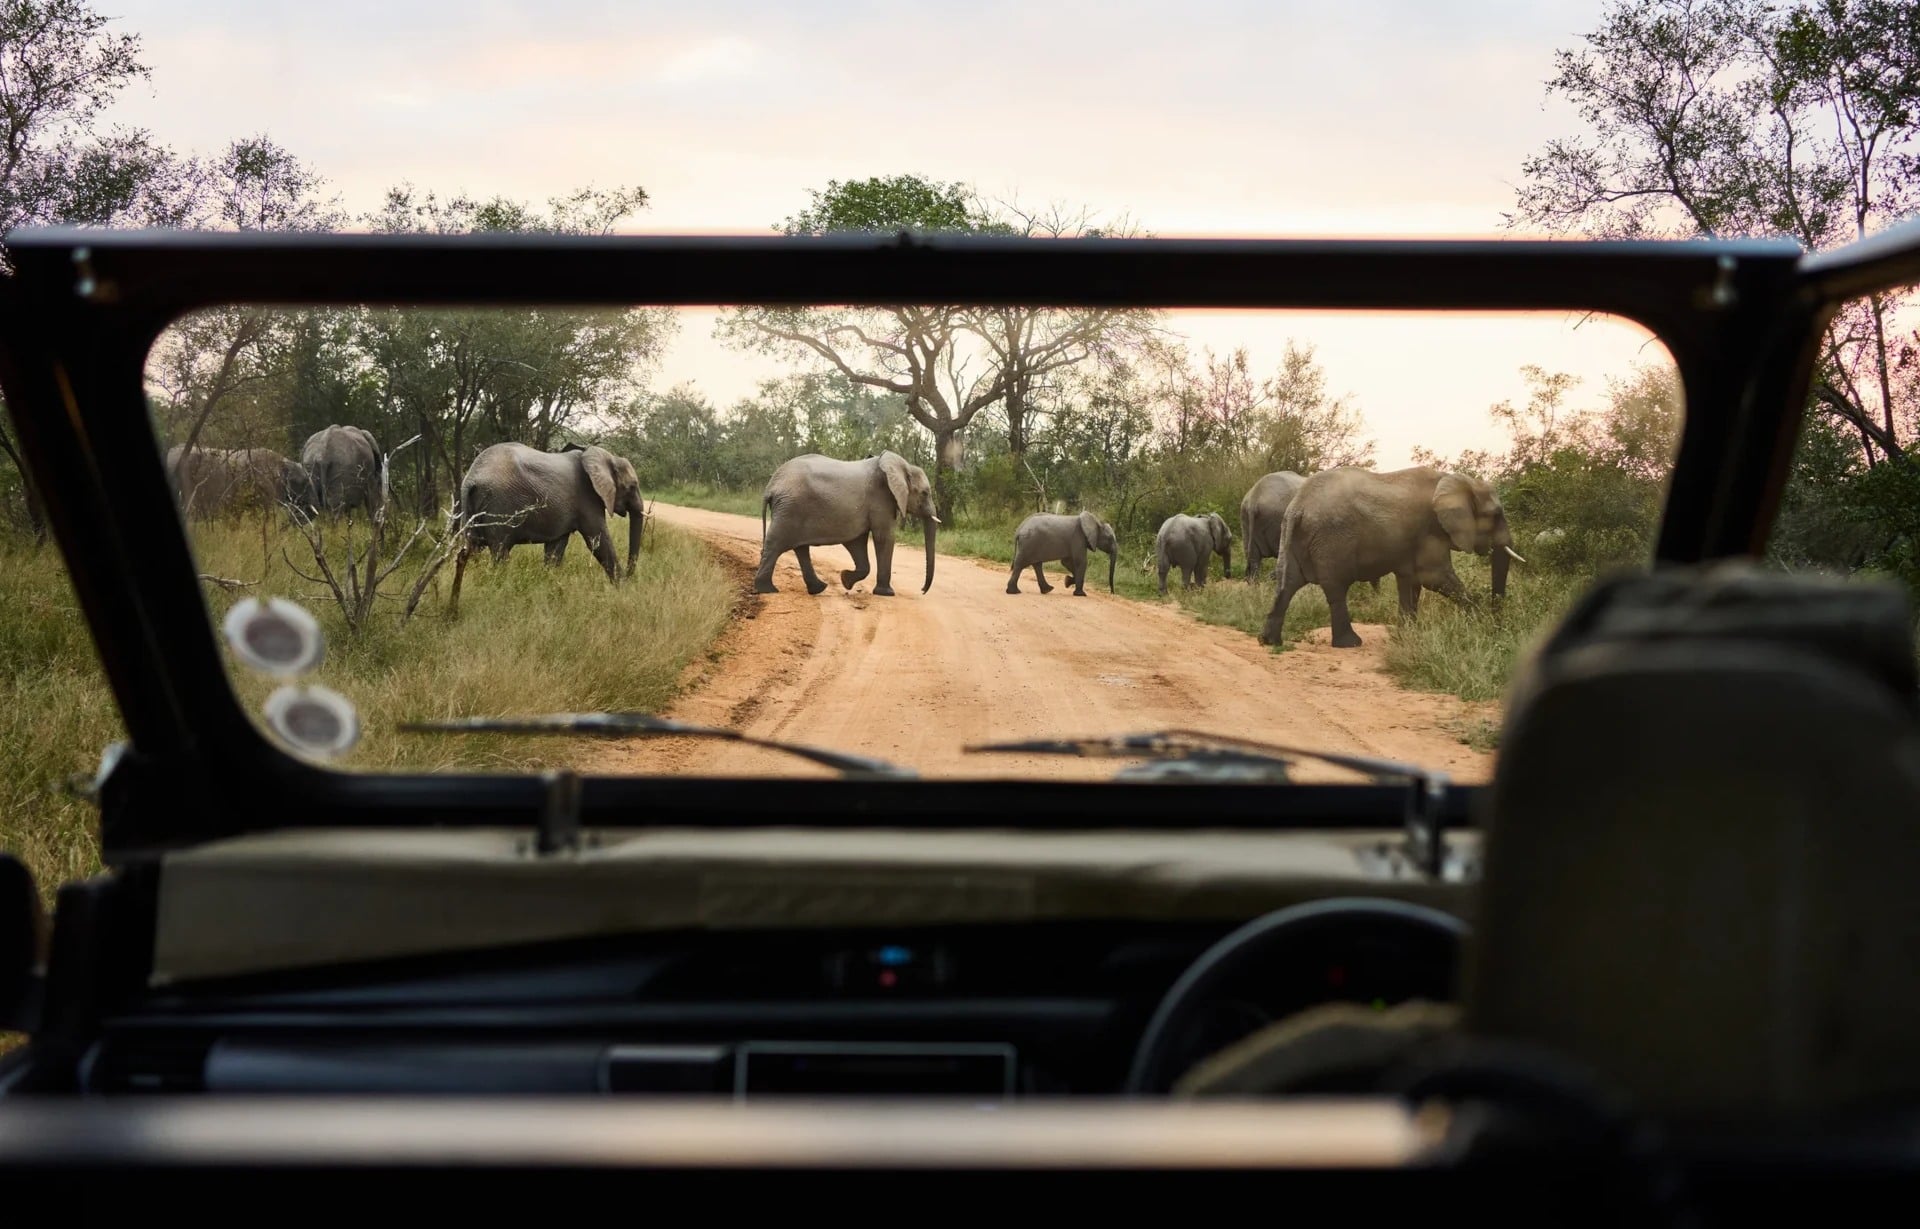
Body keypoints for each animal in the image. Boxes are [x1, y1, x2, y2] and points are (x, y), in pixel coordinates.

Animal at [448, 442, 644, 606]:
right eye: (632, 486)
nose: (631, 576)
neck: (604, 456)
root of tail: (472, 479)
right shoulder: (588, 498)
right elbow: (598, 541)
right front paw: (624, 589)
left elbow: (555, 548)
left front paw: (548, 585)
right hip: (499, 505)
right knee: (500, 551)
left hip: (471, 508)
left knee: (473, 549)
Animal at [755, 451, 940, 596]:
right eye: (925, 493)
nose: (922, 590)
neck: (901, 466)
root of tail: (770, 487)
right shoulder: (881, 499)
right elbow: (884, 537)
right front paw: (887, 593)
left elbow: (856, 542)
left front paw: (845, 580)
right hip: (790, 509)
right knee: (776, 544)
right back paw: (767, 590)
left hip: (792, 509)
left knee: (800, 548)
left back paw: (818, 589)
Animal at [1257, 466, 1525, 649]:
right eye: (1496, 514)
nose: (1498, 626)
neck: (1457, 480)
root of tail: (1298, 506)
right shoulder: (1431, 530)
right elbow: (1433, 577)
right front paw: (1481, 622)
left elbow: (1410, 580)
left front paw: (1407, 636)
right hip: (1332, 540)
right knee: (1336, 588)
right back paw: (1350, 644)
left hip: (1296, 535)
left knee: (1288, 583)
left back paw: (1269, 641)